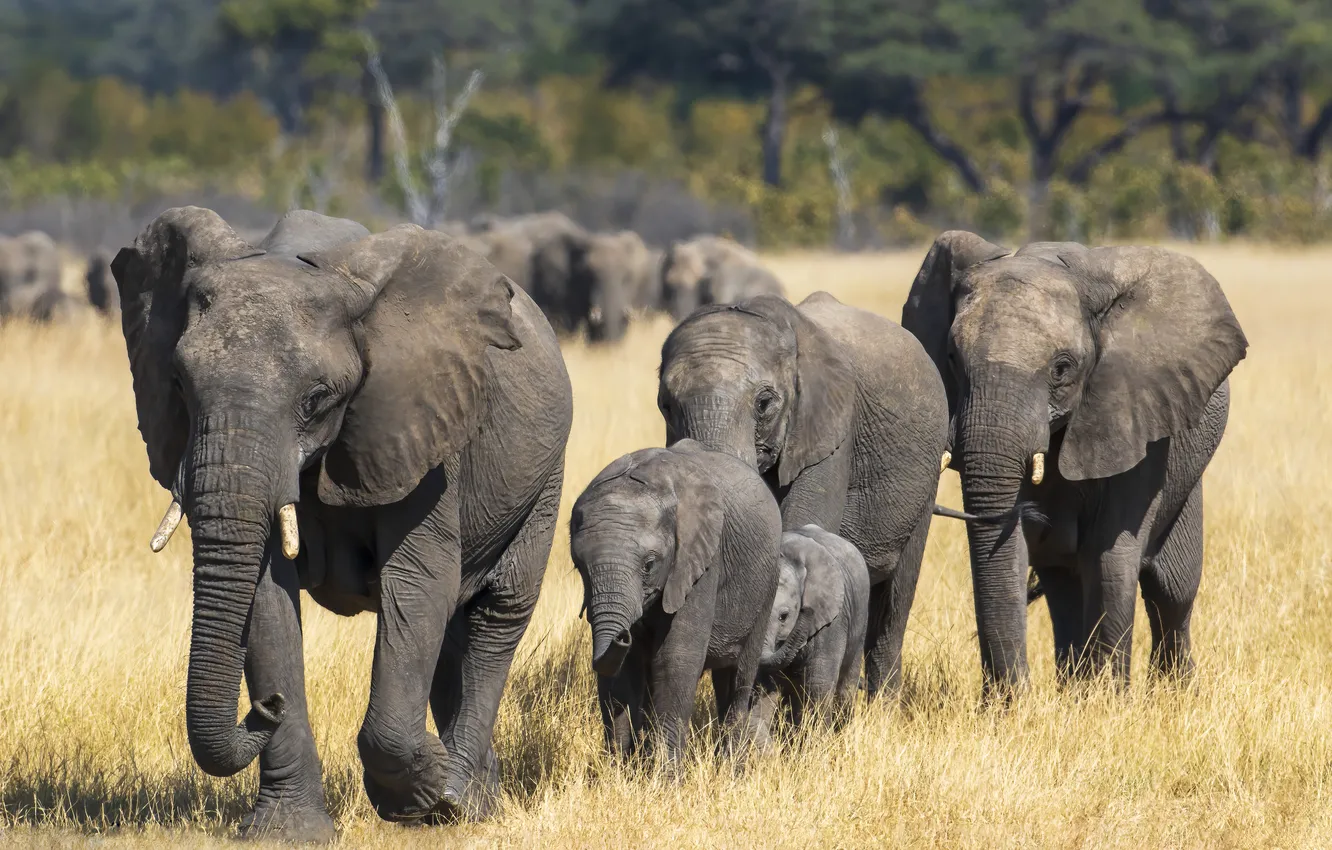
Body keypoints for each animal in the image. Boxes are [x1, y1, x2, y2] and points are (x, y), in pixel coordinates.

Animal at [111, 207, 573, 841]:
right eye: (178, 385)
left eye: (317, 399)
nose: (264, 707)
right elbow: (265, 599)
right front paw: (287, 834)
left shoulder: (421, 428)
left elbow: (418, 584)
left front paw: (417, 793)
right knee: (455, 629)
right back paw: (475, 796)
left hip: (544, 475)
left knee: (496, 612)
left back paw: (456, 800)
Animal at [570, 439, 783, 765]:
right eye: (579, 566)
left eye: (649, 565)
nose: (624, 635)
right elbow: (620, 674)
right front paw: (622, 771)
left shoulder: (701, 560)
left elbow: (675, 659)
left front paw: (664, 776)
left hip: (767, 584)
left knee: (739, 677)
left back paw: (731, 768)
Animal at [756, 524, 870, 731]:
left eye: (783, 616)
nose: (806, 610)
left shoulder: (833, 621)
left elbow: (819, 682)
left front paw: (818, 738)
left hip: (860, 617)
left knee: (846, 683)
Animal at [901, 232, 1248, 693]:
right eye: (953, 359)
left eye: (1061, 369)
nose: (1013, 693)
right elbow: (1017, 550)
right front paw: (1015, 705)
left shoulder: (1136, 416)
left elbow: (1110, 554)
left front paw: (1109, 701)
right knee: (1062, 582)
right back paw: (1074, 688)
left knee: (1171, 588)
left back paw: (1173, 692)